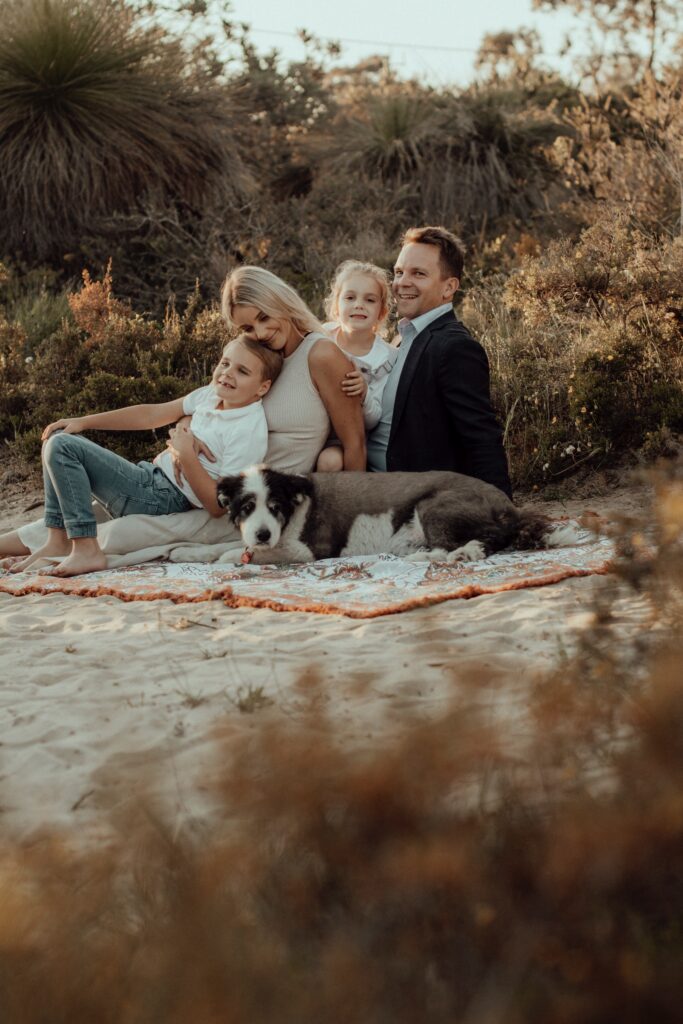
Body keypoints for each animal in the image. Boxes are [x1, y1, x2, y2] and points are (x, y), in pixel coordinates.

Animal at [210, 466, 581, 565]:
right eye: (246, 508)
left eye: (275, 507)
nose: (262, 534)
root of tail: (507, 504)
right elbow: (222, 548)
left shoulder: (309, 550)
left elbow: (248, 554)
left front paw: (235, 556)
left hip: (433, 507)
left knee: (485, 539)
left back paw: (450, 554)